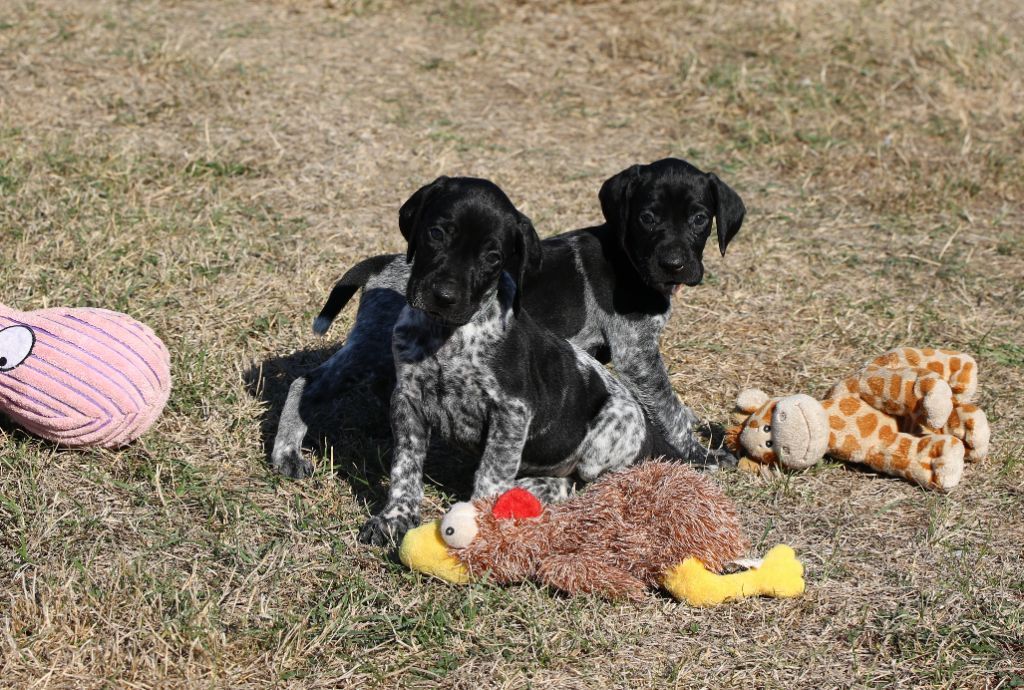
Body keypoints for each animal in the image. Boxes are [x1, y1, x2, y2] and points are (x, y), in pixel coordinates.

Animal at [274, 157, 745, 475]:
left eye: (699, 218)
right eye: (647, 217)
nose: (674, 264)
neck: (630, 257)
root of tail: (382, 264)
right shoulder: (638, 356)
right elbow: (670, 408)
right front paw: (701, 455)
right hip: (371, 350)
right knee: (306, 382)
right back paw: (286, 452)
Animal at [360, 176, 712, 544]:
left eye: (493, 257)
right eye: (436, 233)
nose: (444, 297)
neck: (446, 337)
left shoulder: (512, 412)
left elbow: (490, 475)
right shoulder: (407, 400)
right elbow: (405, 465)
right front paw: (394, 518)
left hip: (612, 426)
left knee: (585, 481)